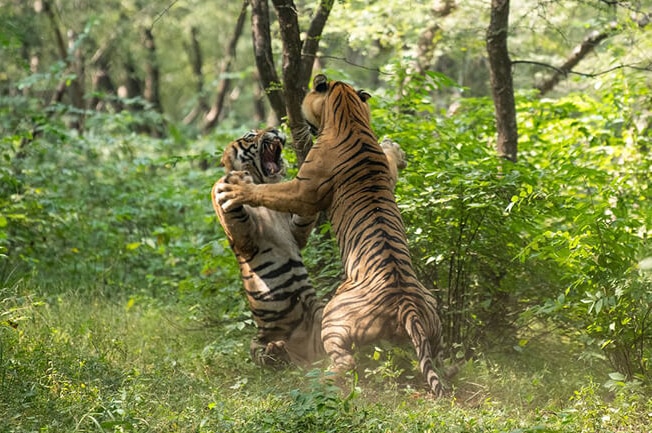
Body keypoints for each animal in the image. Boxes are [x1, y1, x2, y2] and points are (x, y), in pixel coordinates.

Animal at [216, 74, 446, 394]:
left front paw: (237, 189)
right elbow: (390, 160)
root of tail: (407, 304)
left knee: (346, 363)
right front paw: (395, 148)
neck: (350, 114)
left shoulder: (303, 189)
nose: (276, 129)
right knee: (435, 355)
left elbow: (270, 193)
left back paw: (318, 379)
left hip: (333, 316)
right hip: (432, 318)